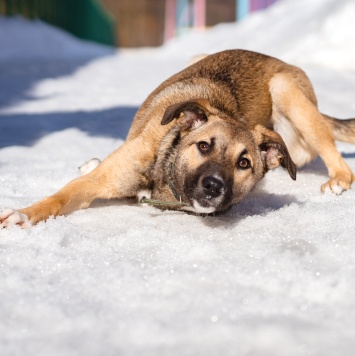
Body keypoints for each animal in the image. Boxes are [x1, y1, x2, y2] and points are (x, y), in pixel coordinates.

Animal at [0, 49, 355, 228]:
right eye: (203, 145)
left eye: (244, 163)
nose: (214, 186)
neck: (165, 168)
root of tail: (277, 60)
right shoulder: (93, 184)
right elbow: (57, 199)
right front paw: (23, 215)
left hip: (287, 91)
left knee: (331, 151)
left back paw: (338, 178)